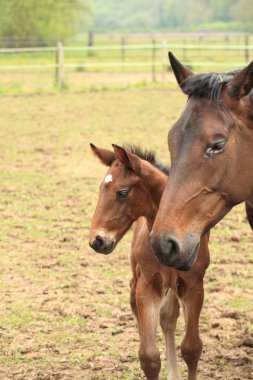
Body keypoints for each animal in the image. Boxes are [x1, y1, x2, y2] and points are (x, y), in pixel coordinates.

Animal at [89, 143, 210, 380]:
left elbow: (191, 348)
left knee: (169, 316)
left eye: (122, 193)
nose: (97, 240)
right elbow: (149, 356)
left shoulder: (193, 284)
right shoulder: (148, 284)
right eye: (100, 189)